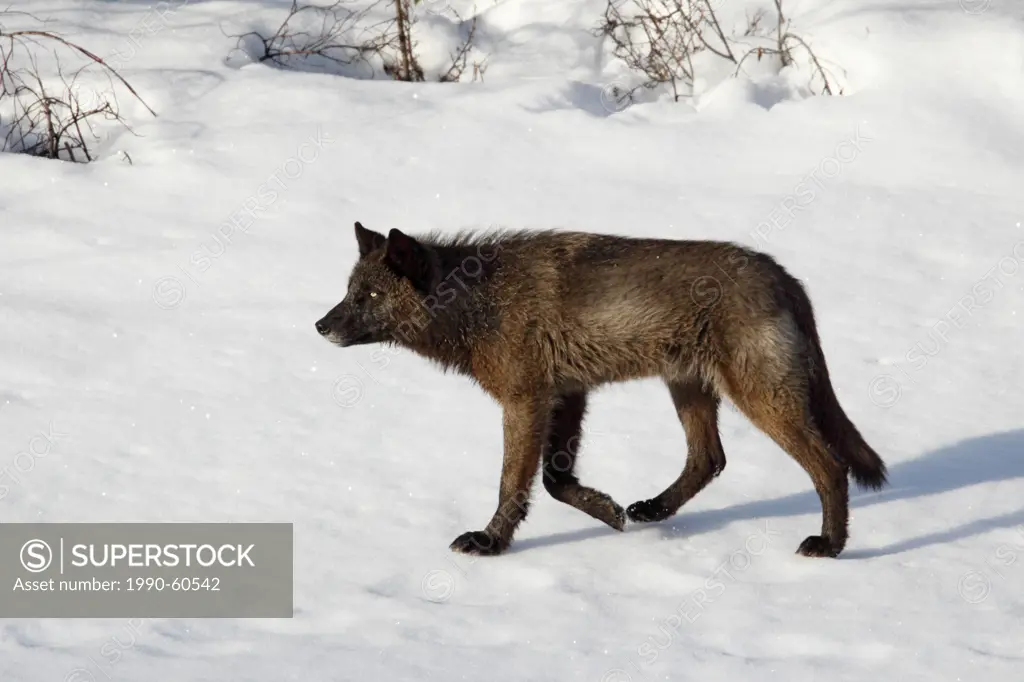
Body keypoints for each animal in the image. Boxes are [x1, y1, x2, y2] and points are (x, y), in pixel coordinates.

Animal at [315, 220, 884, 557]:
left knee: (829, 467)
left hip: (761, 401)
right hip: (688, 390)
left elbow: (513, 485)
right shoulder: (568, 395)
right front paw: (608, 512)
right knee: (710, 459)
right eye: (349, 291)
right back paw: (651, 510)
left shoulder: (525, 401)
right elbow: (554, 481)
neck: (479, 303)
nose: (320, 325)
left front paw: (490, 541)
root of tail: (784, 276)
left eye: (369, 296)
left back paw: (830, 545)